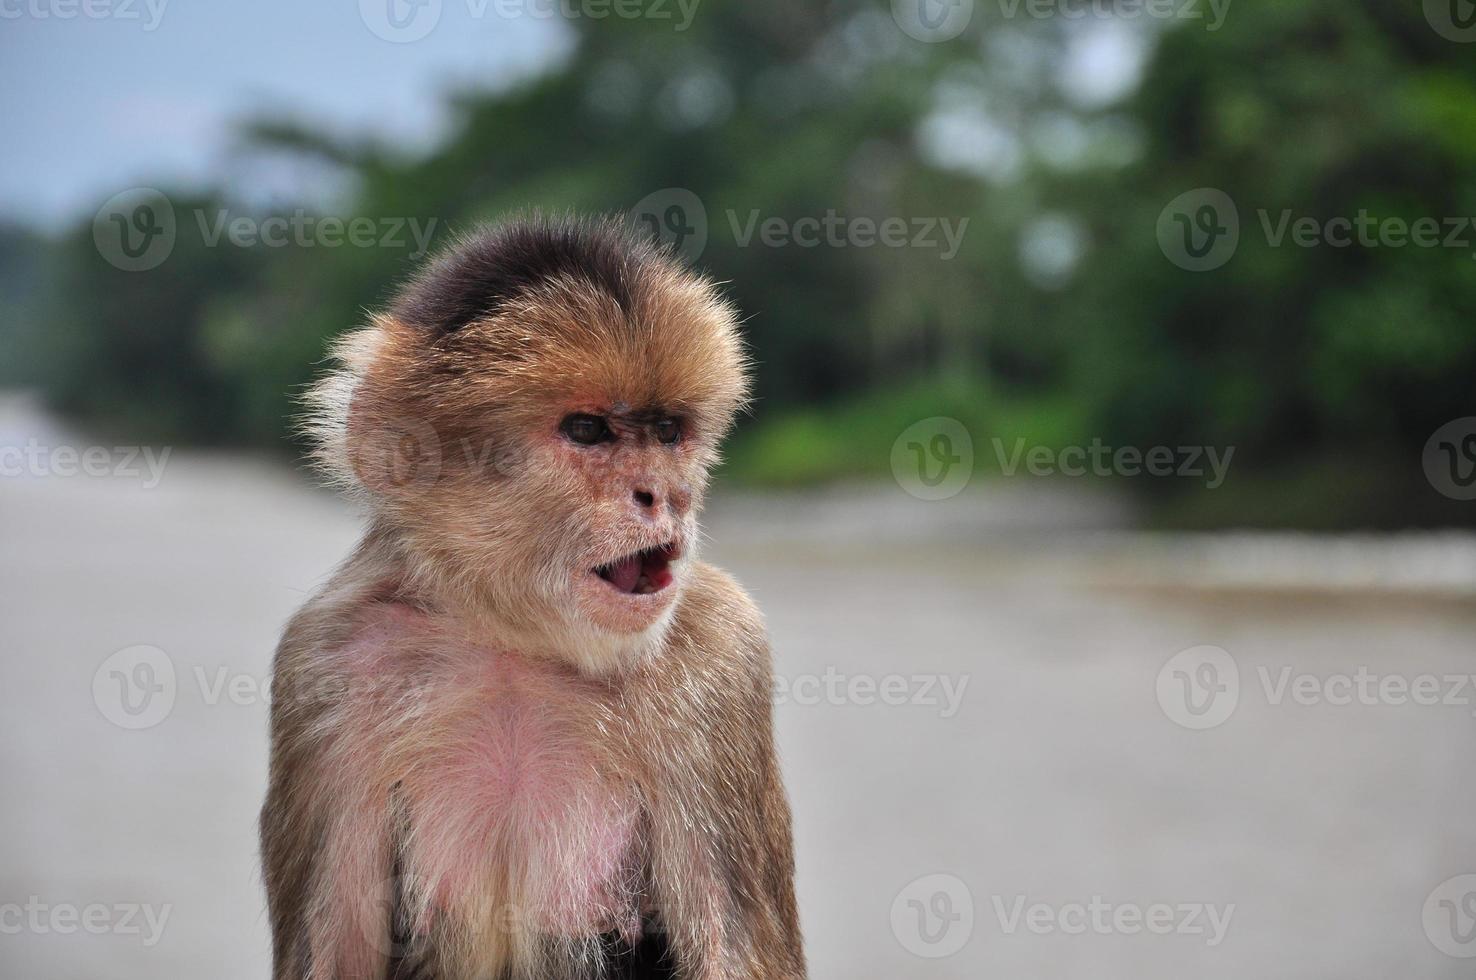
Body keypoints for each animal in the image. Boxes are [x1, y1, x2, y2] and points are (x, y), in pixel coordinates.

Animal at [256, 216, 808, 980]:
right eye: (588, 430)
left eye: (667, 432)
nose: (665, 494)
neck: (514, 637)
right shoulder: (323, 660)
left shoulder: (723, 650)